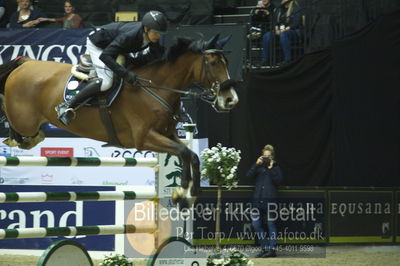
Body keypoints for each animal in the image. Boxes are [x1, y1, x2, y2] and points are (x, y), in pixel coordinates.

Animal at [0, 34, 238, 206]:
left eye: (227, 62)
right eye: (213, 63)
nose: (231, 100)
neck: (155, 88)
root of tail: (26, 63)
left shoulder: (168, 134)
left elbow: (190, 154)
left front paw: (185, 194)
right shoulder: (144, 138)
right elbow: (183, 152)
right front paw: (186, 191)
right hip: (24, 120)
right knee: (11, 117)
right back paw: (24, 136)